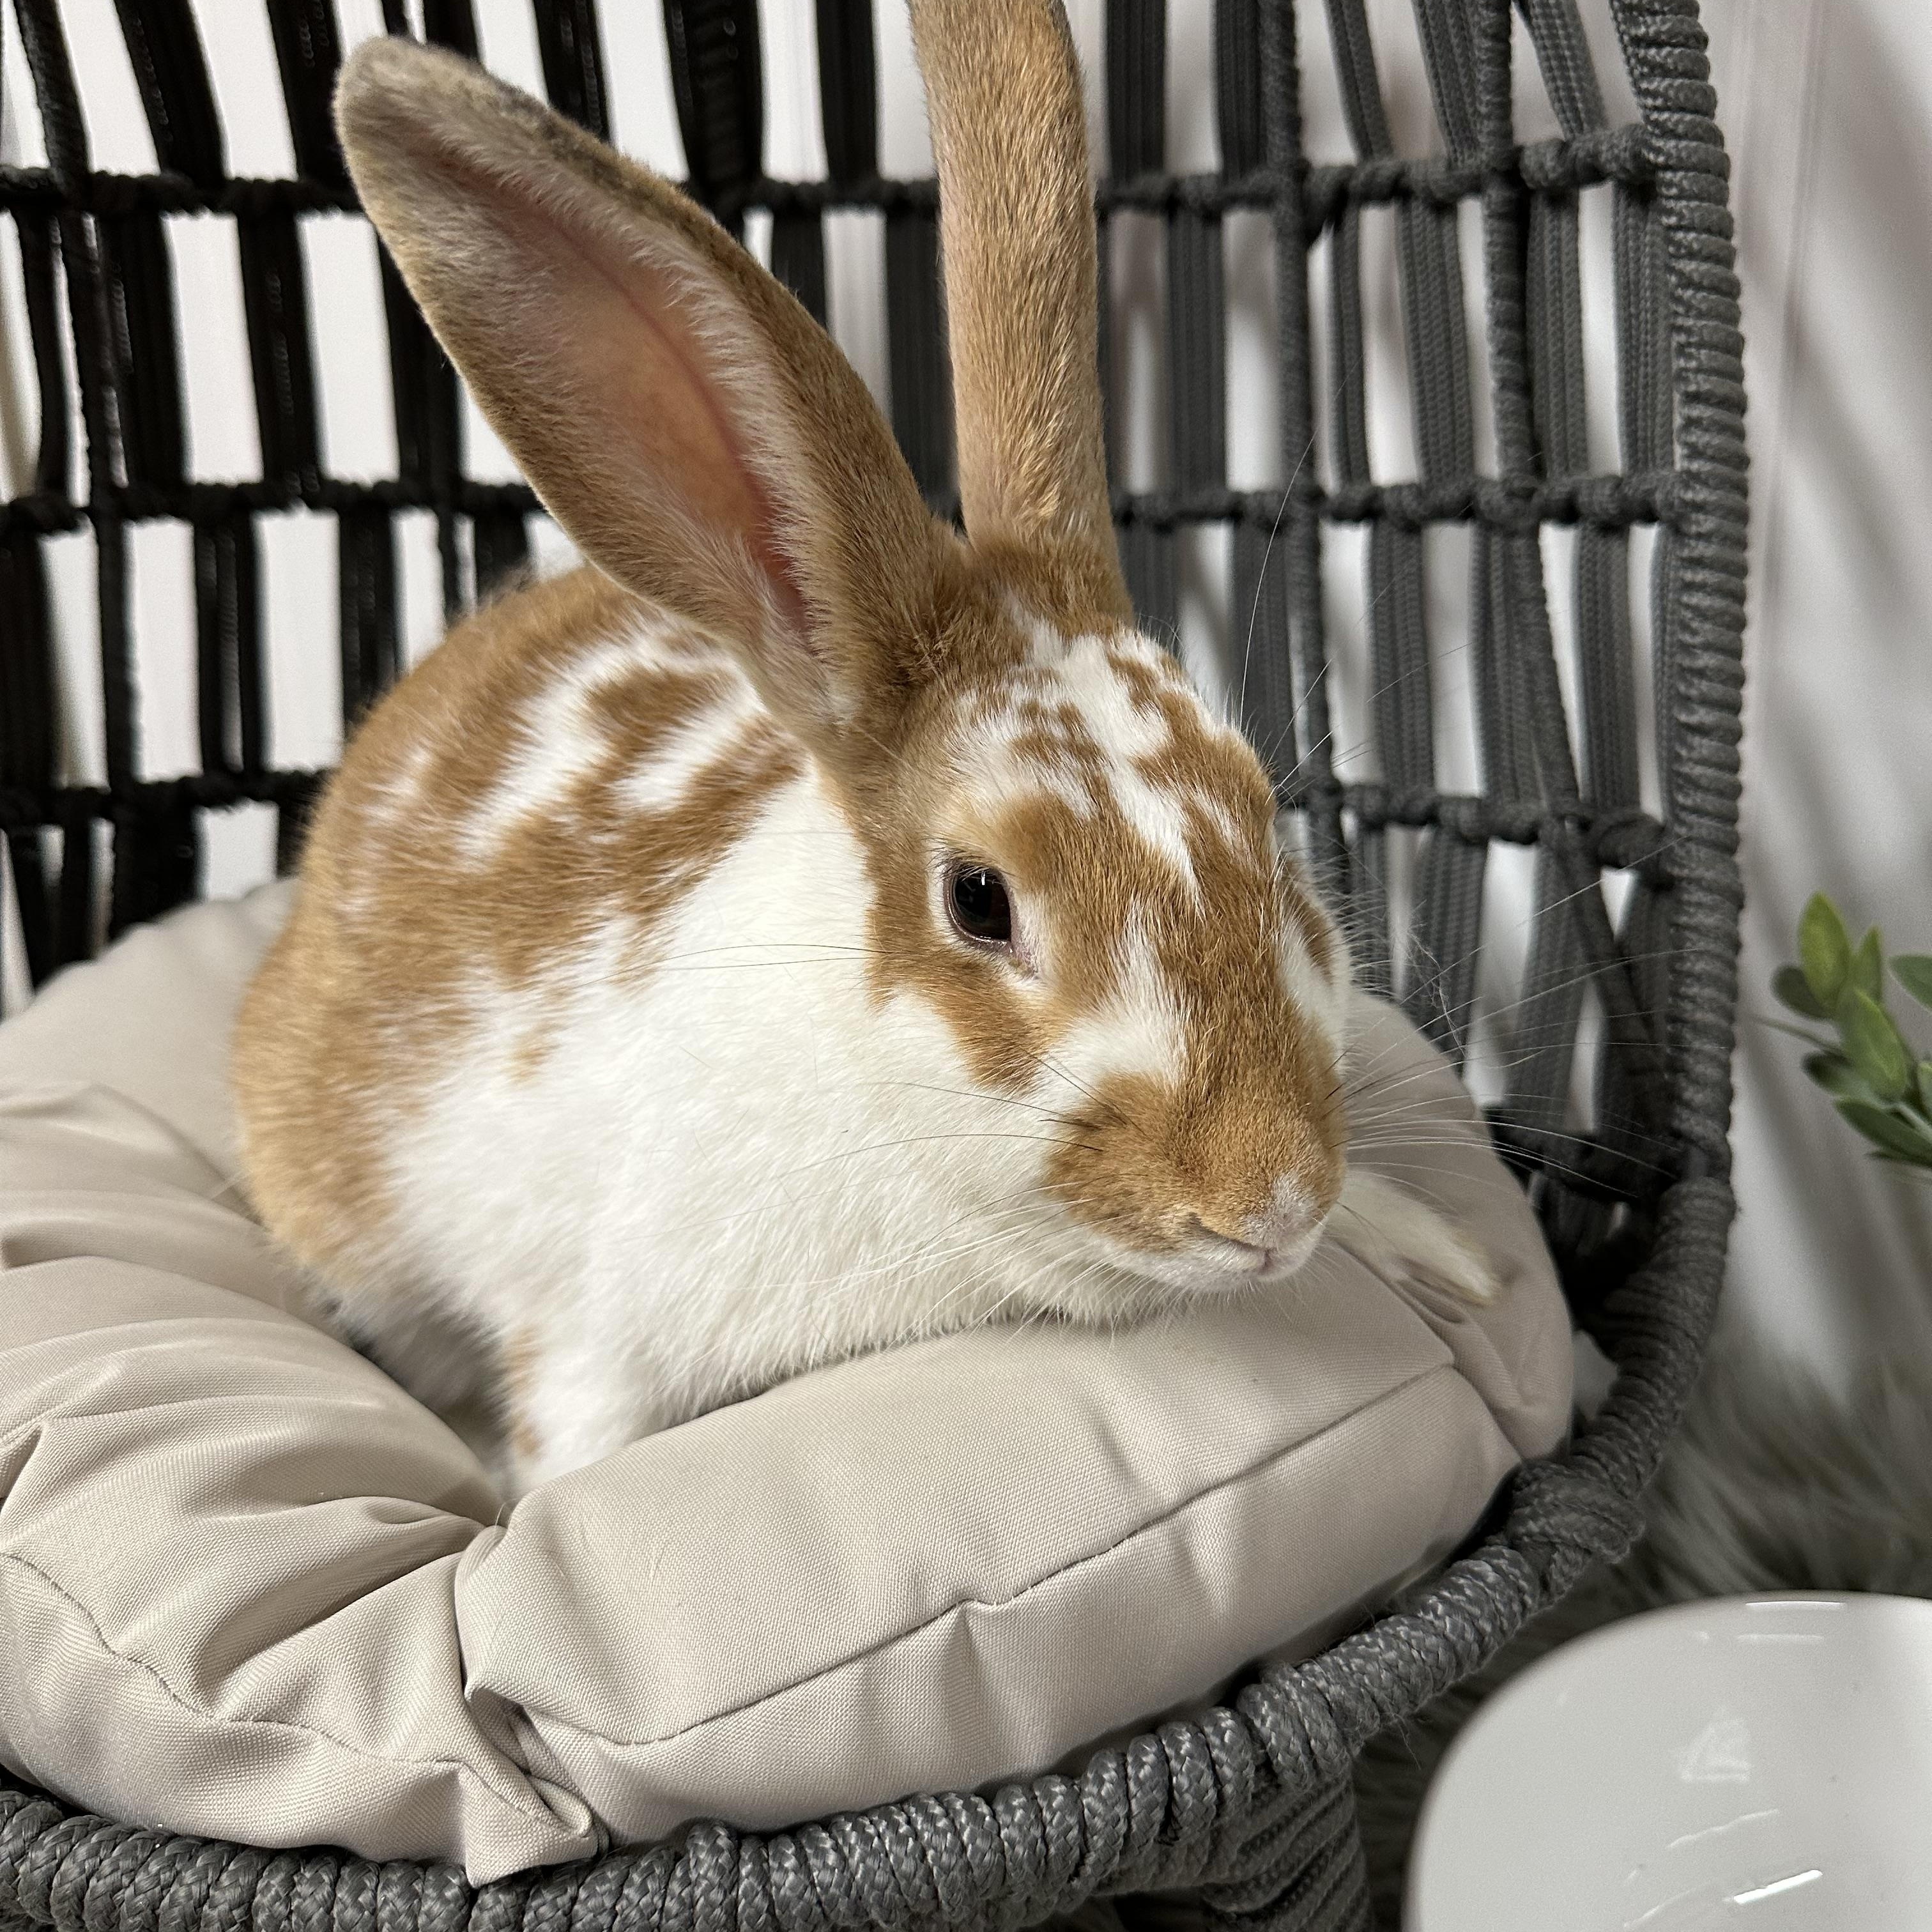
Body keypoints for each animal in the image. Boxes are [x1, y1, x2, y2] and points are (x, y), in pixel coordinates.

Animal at [232, 0, 1501, 1500]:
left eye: (1267, 819)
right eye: (978, 899)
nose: (1272, 1199)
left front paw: (1450, 1261)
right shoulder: (593, 1340)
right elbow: (577, 1444)